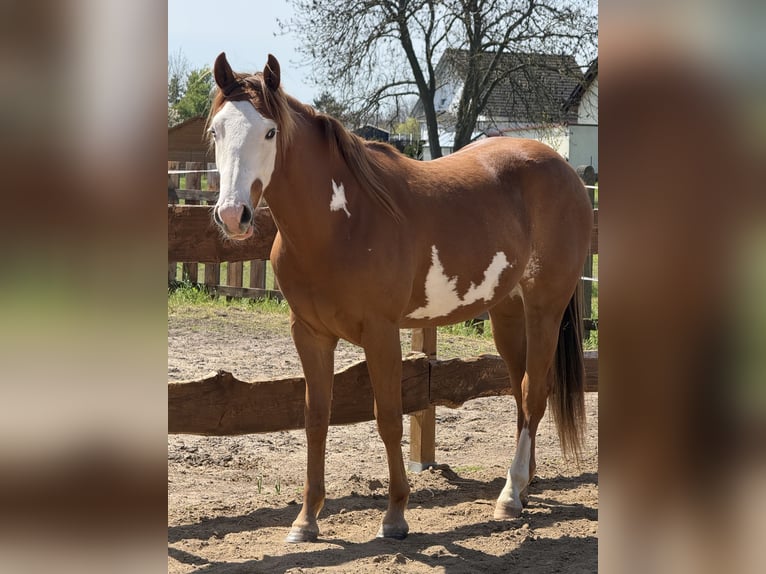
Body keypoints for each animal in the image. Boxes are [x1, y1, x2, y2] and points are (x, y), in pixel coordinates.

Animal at [206, 52, 593, 543]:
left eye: (270, 132)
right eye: (216, 131)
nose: (232, 215)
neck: (341, 223)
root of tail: (564, 170)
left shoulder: (381, 333)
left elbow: (389, 417)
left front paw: (394, 516)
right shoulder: (310, 334)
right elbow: (315, 419)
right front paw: (306, 520)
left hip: (545, 306)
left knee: (535, 391)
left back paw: (510, 495)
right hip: (508, 311)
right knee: (521, 392)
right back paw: (522, 486)